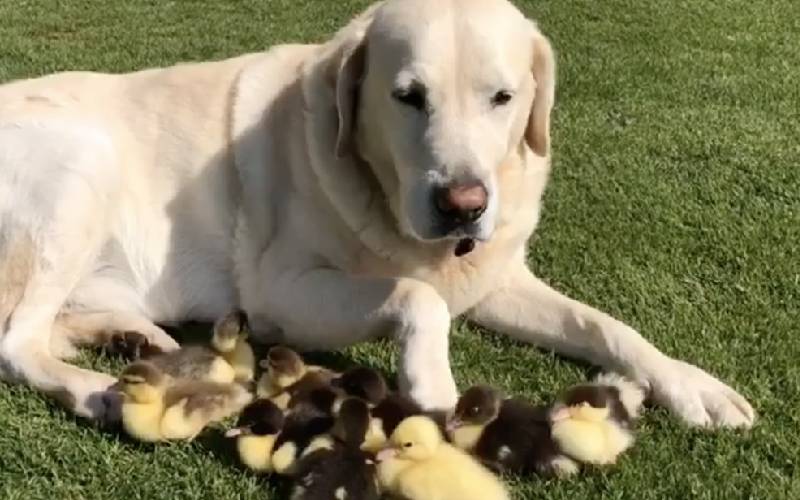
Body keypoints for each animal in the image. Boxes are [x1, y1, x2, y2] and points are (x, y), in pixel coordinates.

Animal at [0, 0, 756, 428]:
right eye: (407, 97)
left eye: (503, 98)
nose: (463, 205)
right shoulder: (280, 291)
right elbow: (418, 296)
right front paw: (434, 384)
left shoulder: (495, 276)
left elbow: (604, 325)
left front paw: (692, 385)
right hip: (80, 163)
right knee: (16, 341)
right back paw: (94, 388)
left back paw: (133, 338)